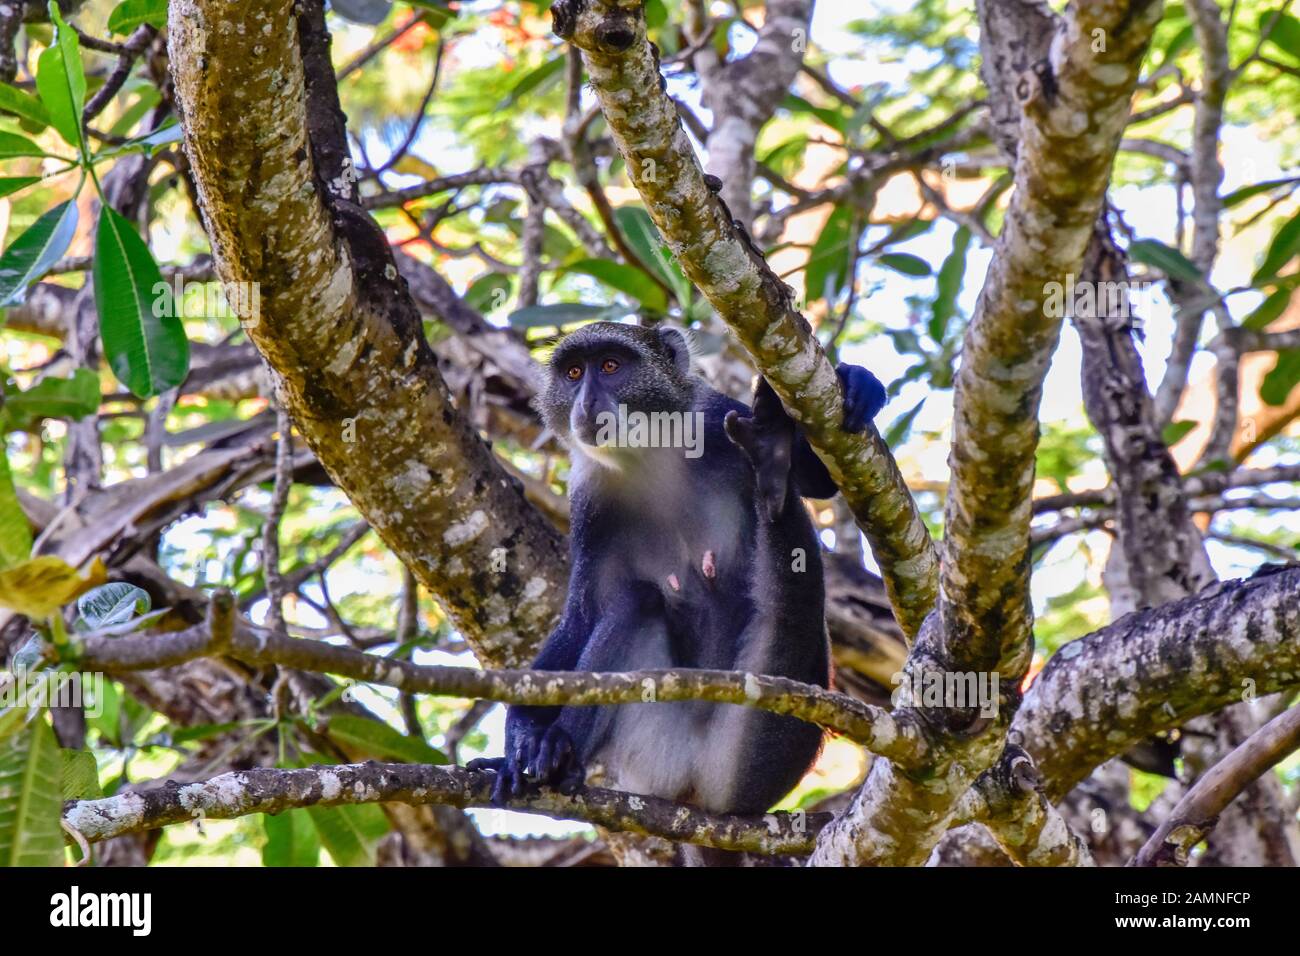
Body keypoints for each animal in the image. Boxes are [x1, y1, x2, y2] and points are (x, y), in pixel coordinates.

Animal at [470, 321, 886, 826]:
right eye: (573, 373)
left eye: (610, 365)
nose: (586, 403)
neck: (649, 456)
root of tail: (696, 794)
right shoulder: (589, 501)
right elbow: (581, 617)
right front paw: (522, 736)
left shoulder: (716, 418)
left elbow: (820, 482)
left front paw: (857, 383)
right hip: (650, 755)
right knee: (638, 601)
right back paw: (559, 756)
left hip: (752, 757)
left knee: (793, 601)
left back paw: (771, 460)